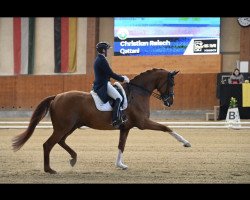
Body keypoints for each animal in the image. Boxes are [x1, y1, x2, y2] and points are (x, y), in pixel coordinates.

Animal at [11, 67, 190, 173]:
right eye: (172, 83)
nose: (170, 102)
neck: (139, 93)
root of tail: (57, 96)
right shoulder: (143, 123)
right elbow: (167, 127)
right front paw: (186, 143)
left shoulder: (125, 128)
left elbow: (121, 145)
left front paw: (120, 165)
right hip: (63, 127)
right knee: (48, 144)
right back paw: (49, 170)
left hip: (70, 127)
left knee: (60, 141)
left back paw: (73, 158)